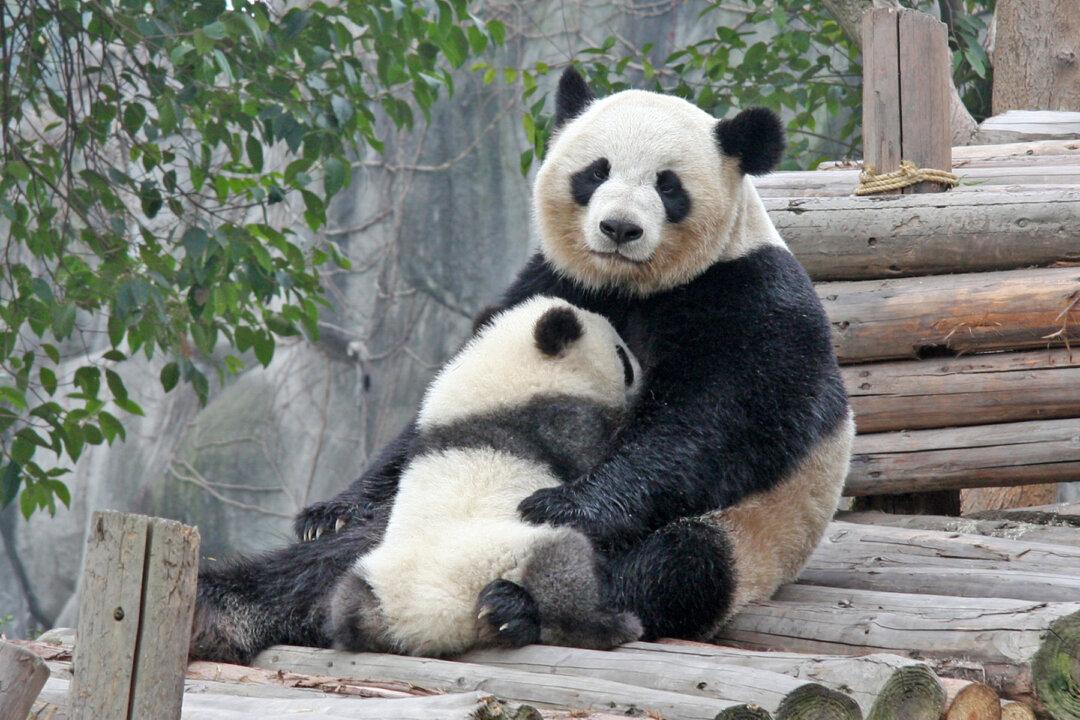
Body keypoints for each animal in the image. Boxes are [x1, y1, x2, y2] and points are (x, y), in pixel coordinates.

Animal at [329, 296, 644, 657]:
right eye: (621, 355)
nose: (642, 370)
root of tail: (433, 617)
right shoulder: (552, 417)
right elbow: (587, 447)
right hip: (503, 549)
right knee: (563, 562)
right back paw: (607, 625)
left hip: (382, 577)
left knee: (346, 601)